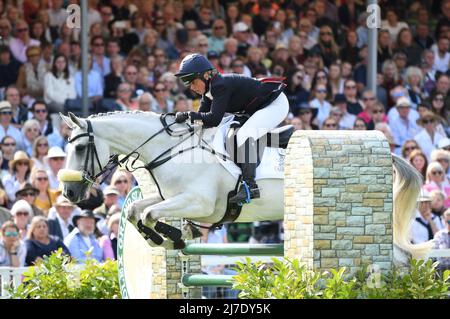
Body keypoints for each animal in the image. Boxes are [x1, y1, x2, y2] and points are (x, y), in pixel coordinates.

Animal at [59, 111, 432, 262]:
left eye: (81, 147)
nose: (70, 194)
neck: (172, 149)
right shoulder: (170, 199)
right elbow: (137, 210)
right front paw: (167, 237)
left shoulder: (198, 203)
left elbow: (148, 213)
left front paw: (173, 236)